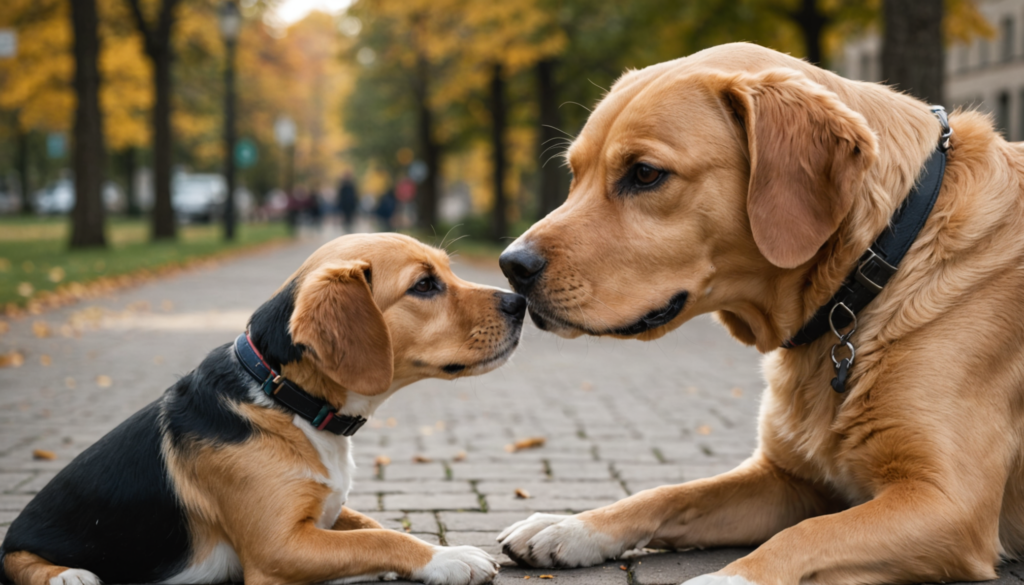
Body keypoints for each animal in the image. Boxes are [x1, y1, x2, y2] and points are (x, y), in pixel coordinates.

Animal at [0, 233, 524, 585]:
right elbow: (379, 538)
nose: (519, 301)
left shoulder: (324, 515)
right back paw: (69, 573)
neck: (285, 398)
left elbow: (373, 527)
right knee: (21, 561)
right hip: (25, 545)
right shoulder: (280, 548)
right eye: (424, 285)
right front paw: (449, 558)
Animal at [491, 42, 1024, 585]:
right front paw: (571, 525)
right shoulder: (788, 480)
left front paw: (722, 578)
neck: (884, 258)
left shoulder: (948, 503)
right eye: (575, 173)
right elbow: (670, 492)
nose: (512, 266)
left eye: (644, 173)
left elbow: (805, 534)